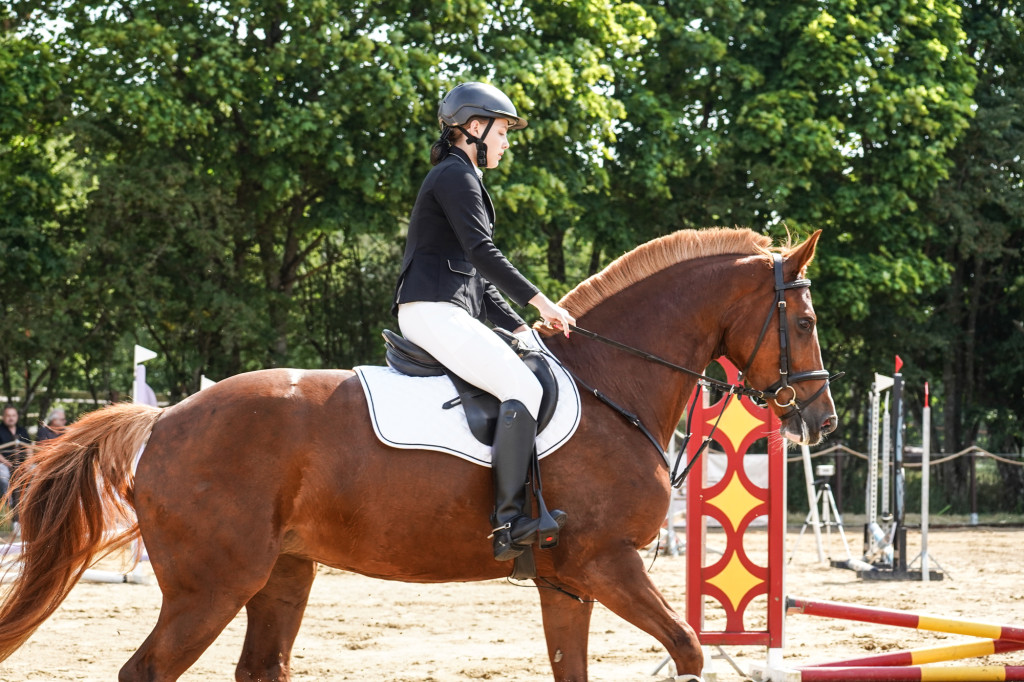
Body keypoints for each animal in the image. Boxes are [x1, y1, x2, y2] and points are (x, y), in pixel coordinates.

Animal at [0, 228, 835, 679]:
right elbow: (691, 649)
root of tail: (164, 420)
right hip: (212, 586)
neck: (611, 382)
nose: (821, 417)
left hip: (282, 574)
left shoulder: (568, 580)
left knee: (261, 665)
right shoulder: (608, 562)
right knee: (147, 669)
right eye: (802, 319)